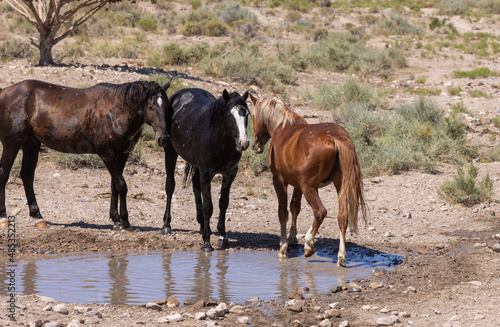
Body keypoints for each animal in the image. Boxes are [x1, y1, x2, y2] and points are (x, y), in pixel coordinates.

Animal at [0, 79, 171, 231]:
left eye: (167, 106)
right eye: (150, 107)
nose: (163, 138)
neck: (116, 109)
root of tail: (4, 92)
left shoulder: (122, 155)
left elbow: (115, 186)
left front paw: (116, 219)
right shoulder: (107, 154)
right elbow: (122, 185)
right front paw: (125, 221)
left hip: (30, 145)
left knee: (27, 176)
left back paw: (37, 216)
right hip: (12, 144)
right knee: (4, 174)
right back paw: (3, 217)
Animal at [163, 87, 250, 251]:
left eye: (247, 114)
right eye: (230, 115)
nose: (244, 143)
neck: (219, 141)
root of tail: (180, 93)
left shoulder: (229, 174)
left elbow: (223, 203)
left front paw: (222, 236)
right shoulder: (206, 173)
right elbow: (208, 206)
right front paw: (206, 243)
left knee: (195, 185)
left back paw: (204, 226)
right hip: (170, 151)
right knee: (170, 186)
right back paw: (166, 225)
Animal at [249, 93, 368, 268]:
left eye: (252, 116)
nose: (254, 145)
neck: (282, 128)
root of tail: (336, 137)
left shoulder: (279, 181)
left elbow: (282, 212)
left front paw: (283, 247)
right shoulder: (297, 184)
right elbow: (294, 207)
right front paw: (292, 238)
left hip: (309, 188)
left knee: (320, 212)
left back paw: (309, 244)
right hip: (339, 185)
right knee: (342, 217)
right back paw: (341, 257)